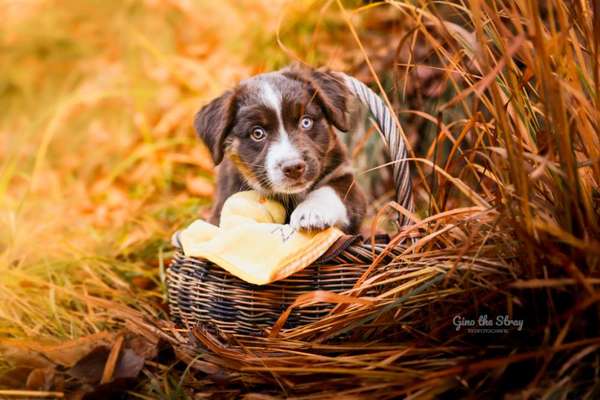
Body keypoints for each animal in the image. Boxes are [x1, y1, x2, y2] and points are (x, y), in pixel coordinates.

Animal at [195, 65, 368, 234]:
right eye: (257, 133)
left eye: (306, 122)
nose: (293, 168)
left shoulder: (343, 174)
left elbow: (331, 189)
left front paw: (311, 211)